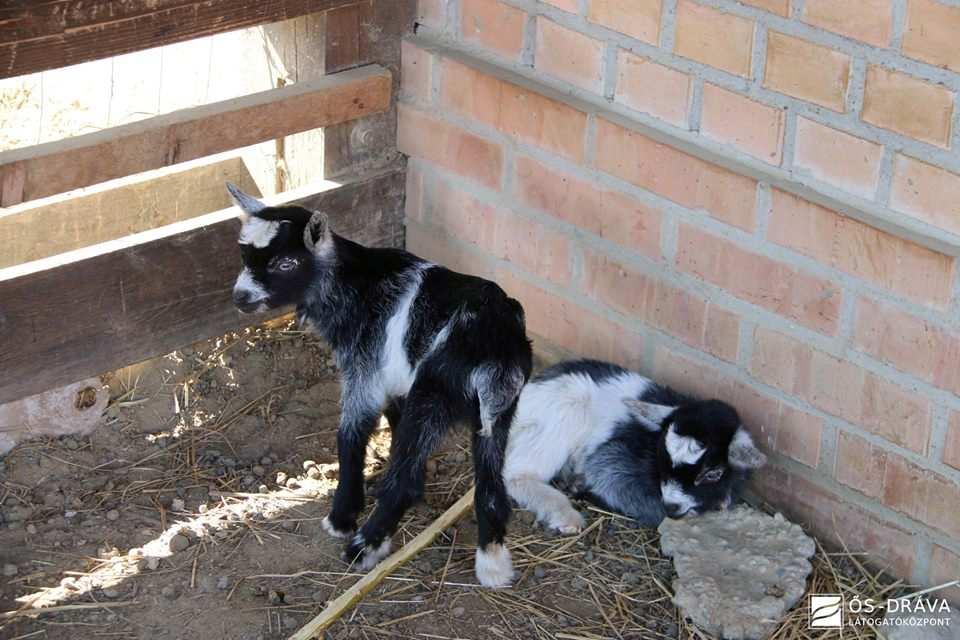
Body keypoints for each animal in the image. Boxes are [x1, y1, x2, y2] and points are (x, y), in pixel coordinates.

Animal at [226, 184, 532, 584]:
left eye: (285, 263)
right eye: (244, 255)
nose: (240, 298)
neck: (352, 284)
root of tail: (496, 352)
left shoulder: (363, 368)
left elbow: (351, 436)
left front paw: (342, 515)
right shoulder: (392, 374)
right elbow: (392, 417)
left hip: (434, 393)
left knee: (405, 479)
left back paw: (363, 546)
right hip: (499, 413)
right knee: (491, 484)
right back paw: (493, 563)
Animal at [502, 360, 764, 528]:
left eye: (712, 473)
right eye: (659, 458)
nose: (672, 507)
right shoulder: (612, 459)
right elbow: (610, 478)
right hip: (565, 410)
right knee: (516, 474)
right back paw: (565, 515)